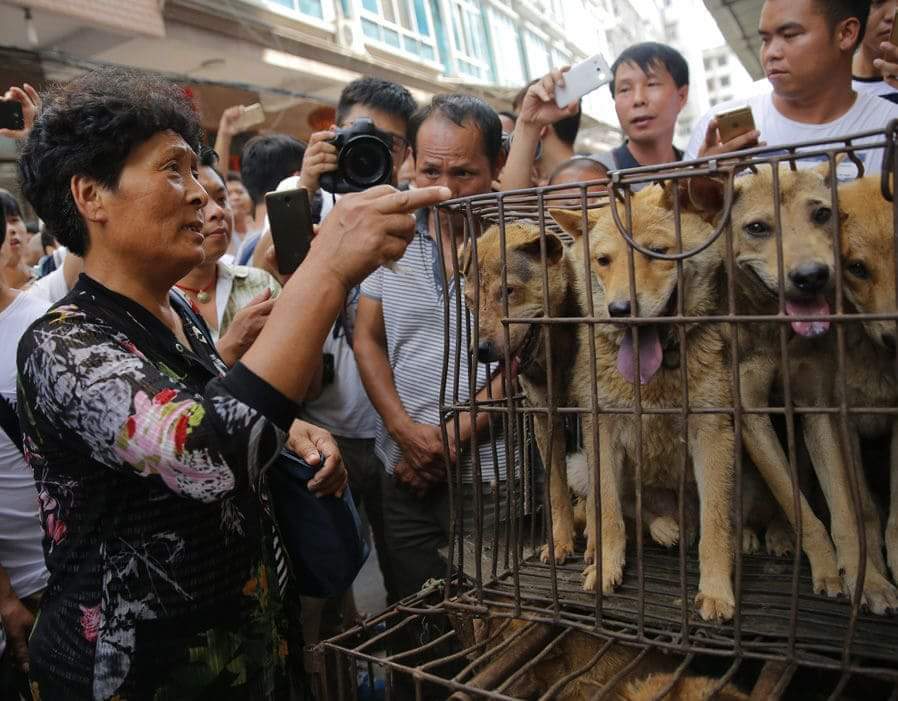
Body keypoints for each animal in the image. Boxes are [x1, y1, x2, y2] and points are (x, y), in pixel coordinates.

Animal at [552, 182, 736, 624]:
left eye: (658, 253)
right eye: (603, 261)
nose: (620, 310)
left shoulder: (713, 434)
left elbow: (716, 526)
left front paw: (716, 590)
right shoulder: (601, 431)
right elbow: (610, 515)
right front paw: (606, 566)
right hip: (580, 465)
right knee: (628, 512)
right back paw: (651, 530)